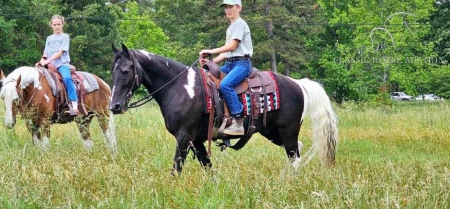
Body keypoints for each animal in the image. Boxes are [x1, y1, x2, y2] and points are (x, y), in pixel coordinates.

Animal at [110, 44, 340, 175]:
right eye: (113, 72)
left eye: (126, 71)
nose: (115, 106)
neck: (180, 87)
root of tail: (298, 84)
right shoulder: (196, 140)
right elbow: (207, 167)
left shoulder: (184, 137)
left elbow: (176, 168)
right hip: (273, 132)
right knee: (295, 152)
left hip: (288, 131)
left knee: (294, 156)